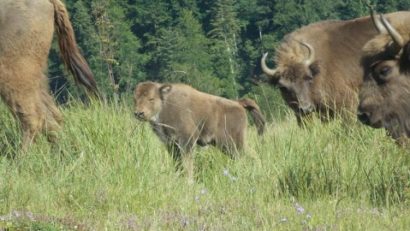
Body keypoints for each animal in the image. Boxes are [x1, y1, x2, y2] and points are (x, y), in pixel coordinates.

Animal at [133, 81, 264, 180]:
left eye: (151, 99)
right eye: (135, 99)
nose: (139, 113)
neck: (165, 104)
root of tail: (238, 103)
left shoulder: (187, 140)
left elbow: (188, 163)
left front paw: (189, 181)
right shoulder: (171, 144)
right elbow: (177, 163)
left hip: (233, 143)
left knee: (248, 155)